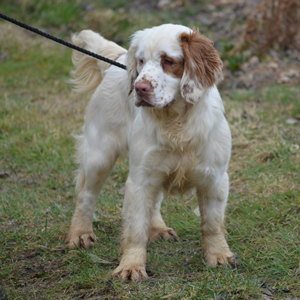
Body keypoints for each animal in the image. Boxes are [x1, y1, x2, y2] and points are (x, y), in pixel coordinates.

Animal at [65, 23, 237, 282]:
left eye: (168, 61)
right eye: (141, 61)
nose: (140, 88)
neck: (176, 123)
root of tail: (117, 58)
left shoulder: (214, 178)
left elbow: (212, 223)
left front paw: (218, 255)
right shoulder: (140, 179)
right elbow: (135, 228)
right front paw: (131, 266)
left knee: (154, 202)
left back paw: (157, 228)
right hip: (100, 156)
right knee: (86, 196)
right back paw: (80, 234)